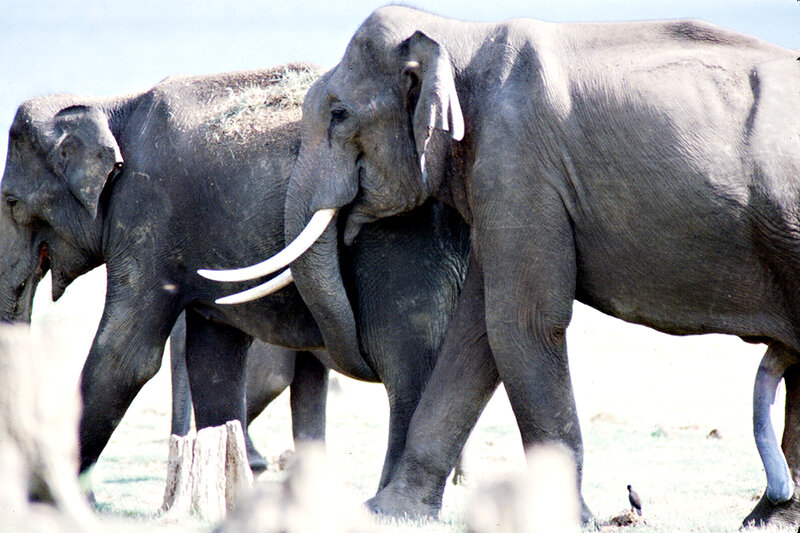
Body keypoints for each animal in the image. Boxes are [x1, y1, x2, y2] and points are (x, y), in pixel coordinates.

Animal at [0, 62, 469, 496]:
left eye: (10, 202)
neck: (112, 106)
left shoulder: (145, 217)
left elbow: (125, 358)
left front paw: (52, 500)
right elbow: (212, 358)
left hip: (404, 238)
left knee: (408, 365)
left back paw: (390, 504)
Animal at [223, 7, 800, 528]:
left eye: (339, 114)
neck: (457, 34)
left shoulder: (518, 163)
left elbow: (520, 323)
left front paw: (565, 519)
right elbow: (476, 330)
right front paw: (389, 512)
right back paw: (772, 516)